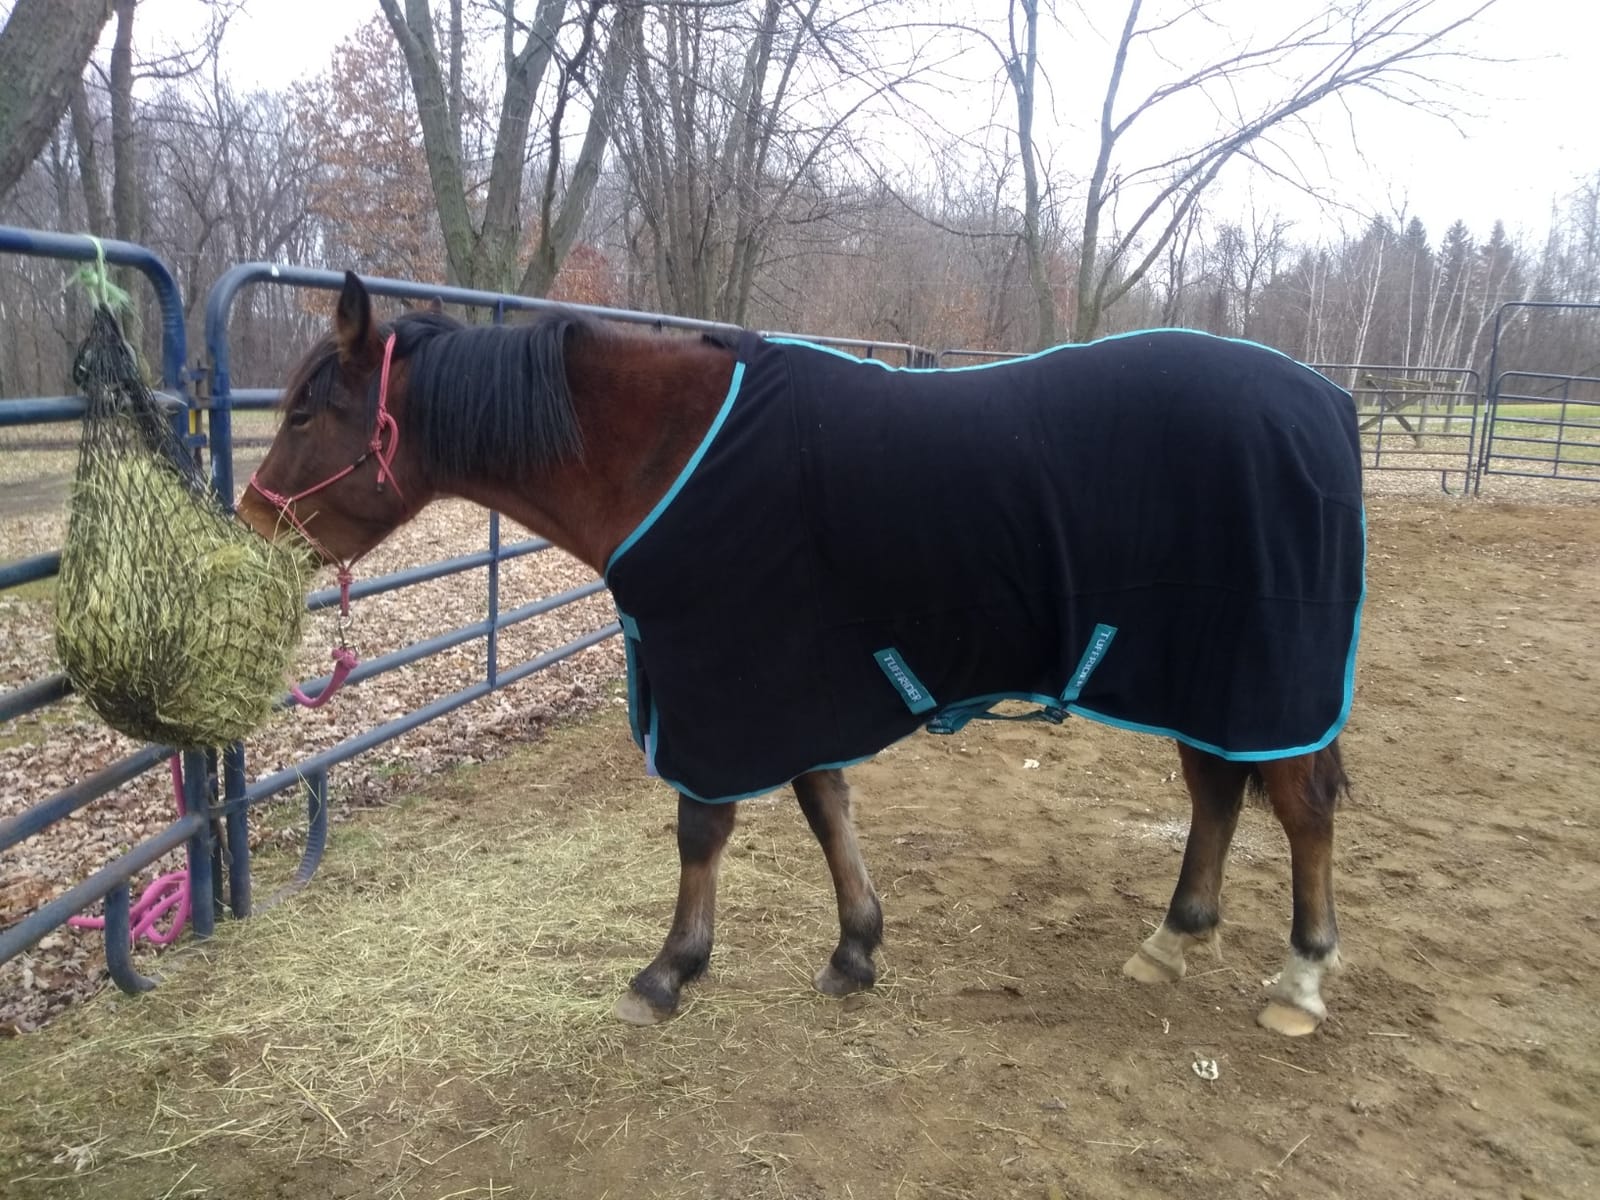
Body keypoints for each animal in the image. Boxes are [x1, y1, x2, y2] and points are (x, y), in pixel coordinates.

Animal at [239, 271, 1365, 1037]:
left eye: (305, 409)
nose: (250, 524)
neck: (666, 451)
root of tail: (1325, 401)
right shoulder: (799, 671)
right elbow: (827, 806)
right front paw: (855, 947)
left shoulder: (729, 682)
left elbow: (703, 828)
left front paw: (669, 971)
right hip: (1200, 675)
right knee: (1218, 793)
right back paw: (1173, 940)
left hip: (1261, 674)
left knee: (1300, 808)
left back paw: (1301, 982)